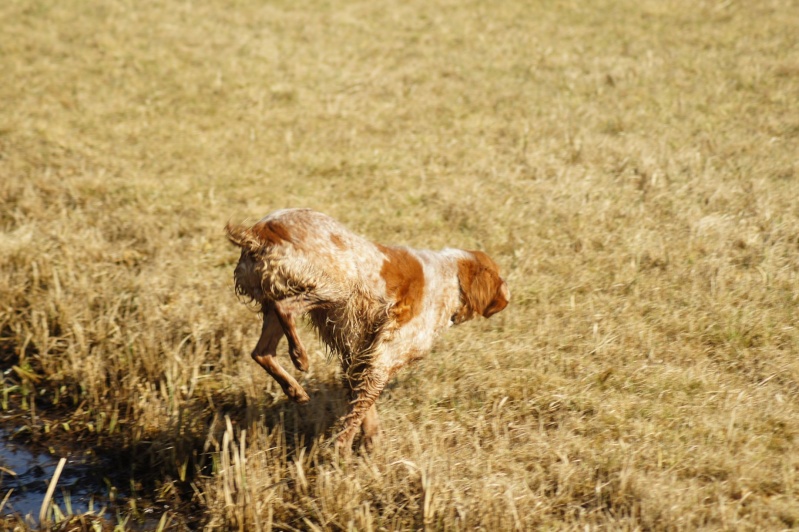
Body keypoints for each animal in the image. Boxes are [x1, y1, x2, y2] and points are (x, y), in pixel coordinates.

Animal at [228, 208, 510, 454]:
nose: (506, 298)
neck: (451, 279)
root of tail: (260, 230)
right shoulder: (383, 360)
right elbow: (356, 414)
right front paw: (343, 452)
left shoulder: (358, 356)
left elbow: (362, 405)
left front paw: (371, 442)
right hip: (333, 287)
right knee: (285, 309)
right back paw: (300, 357)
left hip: (278, 298)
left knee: (261, 352)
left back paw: (295, 390)